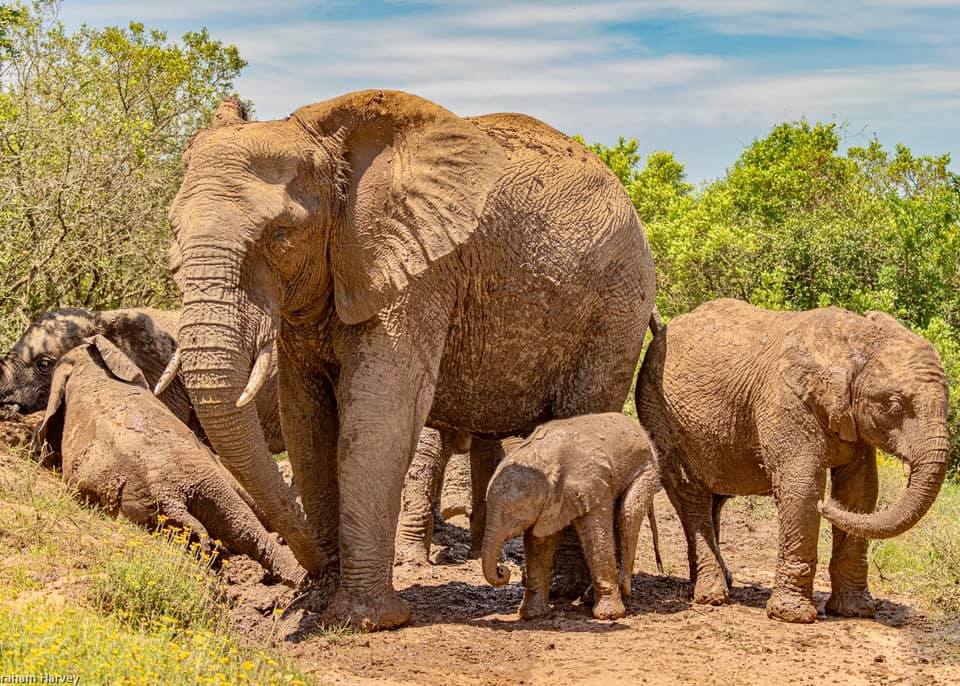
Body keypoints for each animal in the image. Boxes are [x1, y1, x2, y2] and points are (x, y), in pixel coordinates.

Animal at [480, 414, 660, 624]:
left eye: (516, 510)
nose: (502, 570)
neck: (542, 457)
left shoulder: (591, 484)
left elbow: (595, 537)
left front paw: (609, 616)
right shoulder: (550, 504)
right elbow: (539, 544)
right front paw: (532, 615)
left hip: (647, 469)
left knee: (628, 514)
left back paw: (617, 591)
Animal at [632, 300, 948, 624]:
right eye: (896, 405)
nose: (826, 506)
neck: (854, 340)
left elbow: (860, 492)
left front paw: (855, 612)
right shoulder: (786, 401)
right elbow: (803, 487)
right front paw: (792, 616)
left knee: (713, 500)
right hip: (660, 412)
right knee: (690, 493)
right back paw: (712, 596)